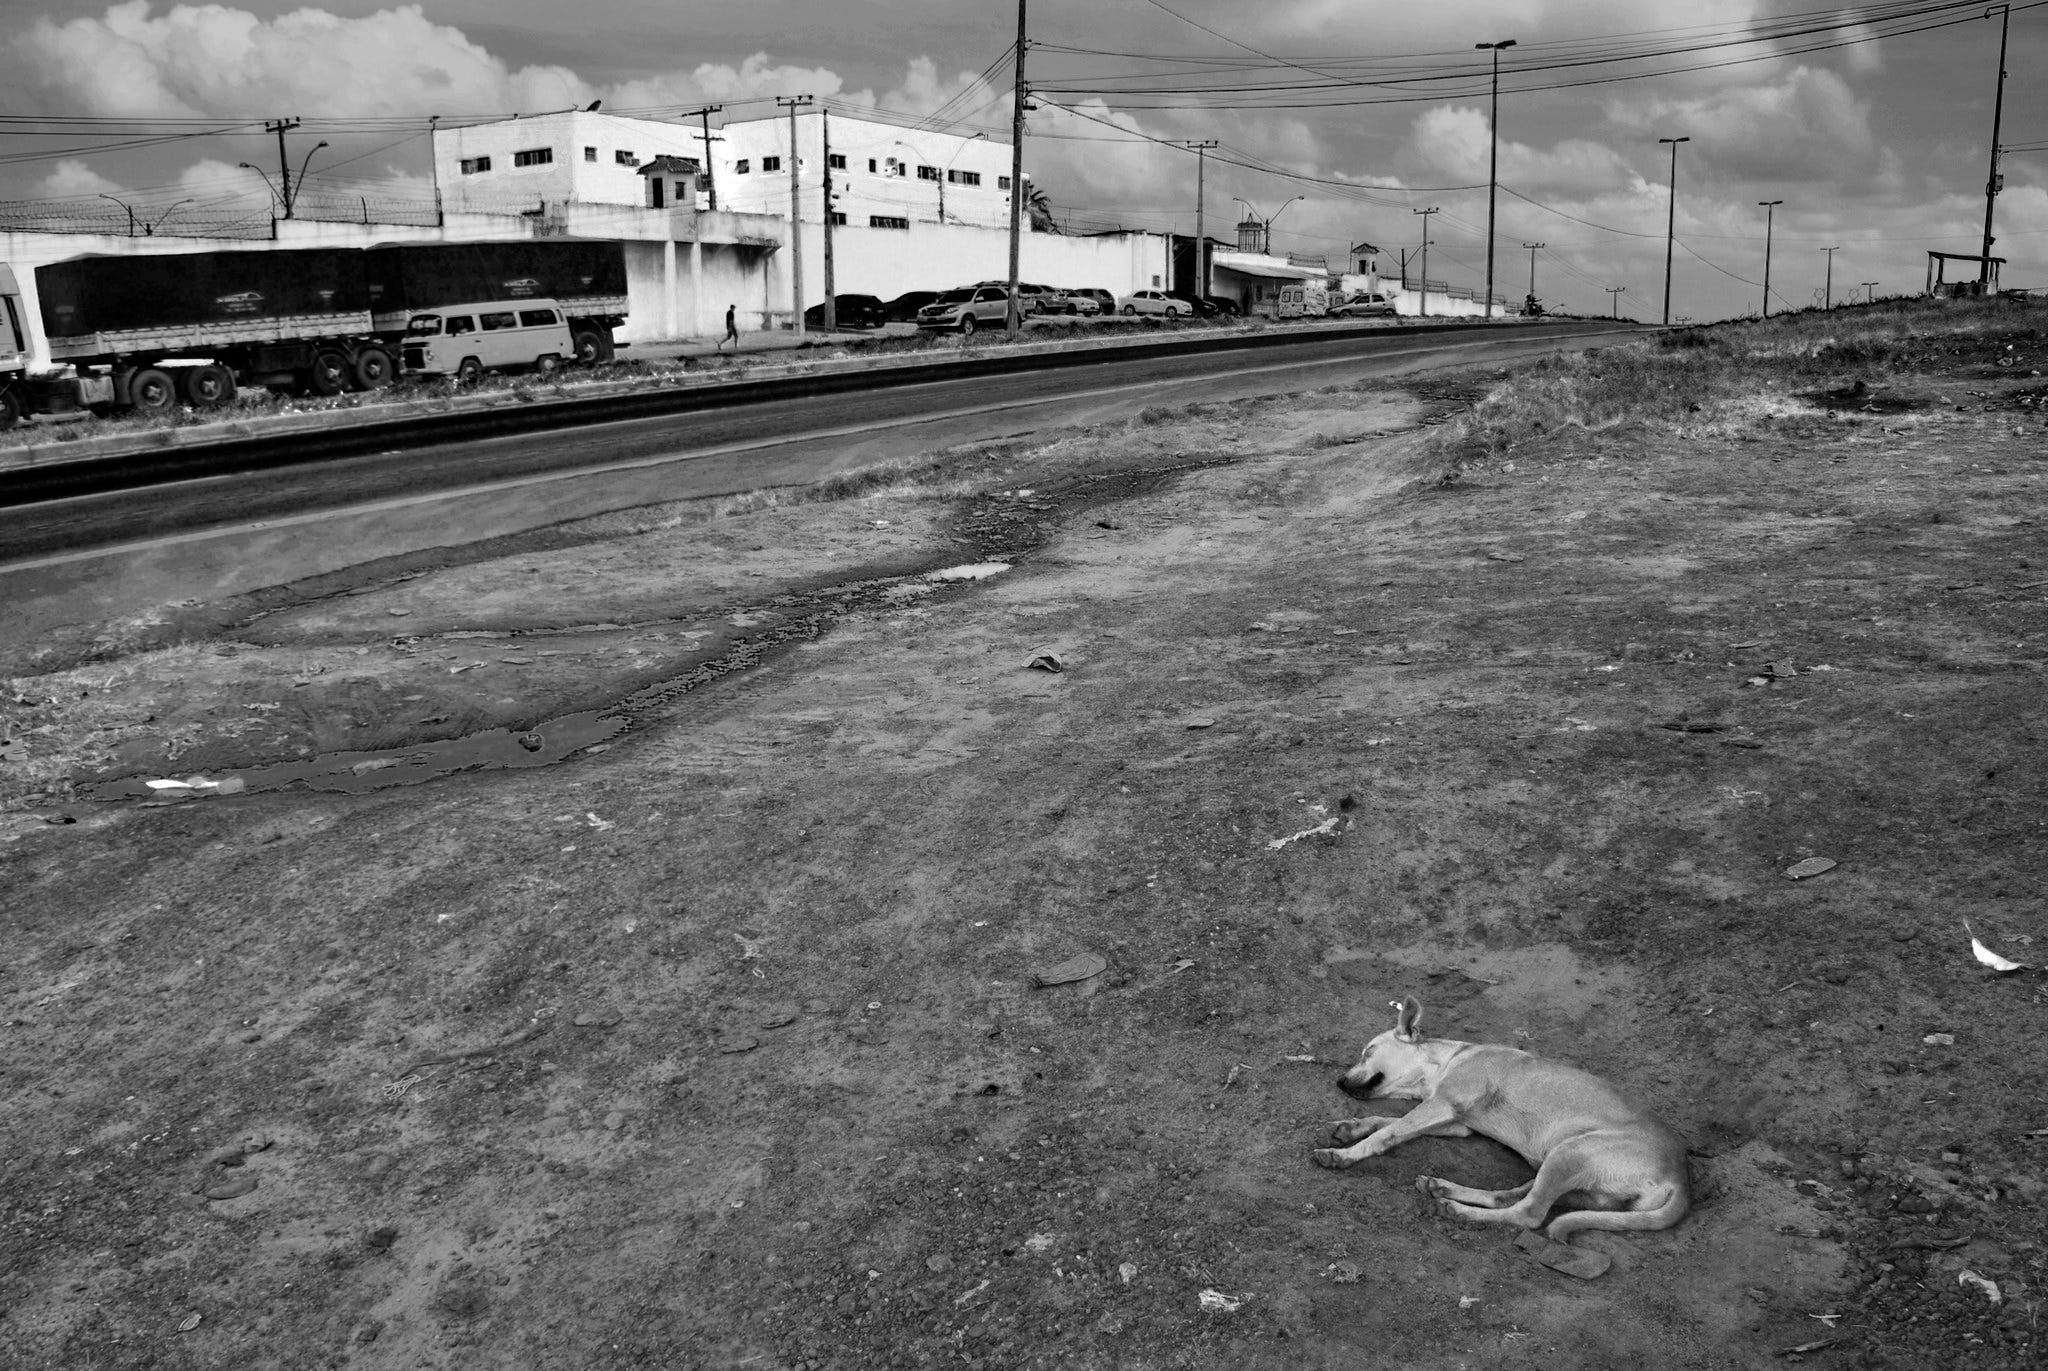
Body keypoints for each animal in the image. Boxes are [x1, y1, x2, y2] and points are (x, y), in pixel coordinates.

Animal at [1318, 995, 1687, 1254]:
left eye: (1367, 1052)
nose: (1338, 1081)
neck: (1447, 1060)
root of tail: (1682, 1180)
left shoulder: (1442, 1105)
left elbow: (1389, 1131)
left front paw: (1344, 1154)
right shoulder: (1457, 1123)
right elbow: (1384, 1120)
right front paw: (1350, 1126)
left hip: (1571, 1153)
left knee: (1529, 1213)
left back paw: (1459, 1211)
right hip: (1570, 1175)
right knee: (1512, 1197)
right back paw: (1445, 1189)